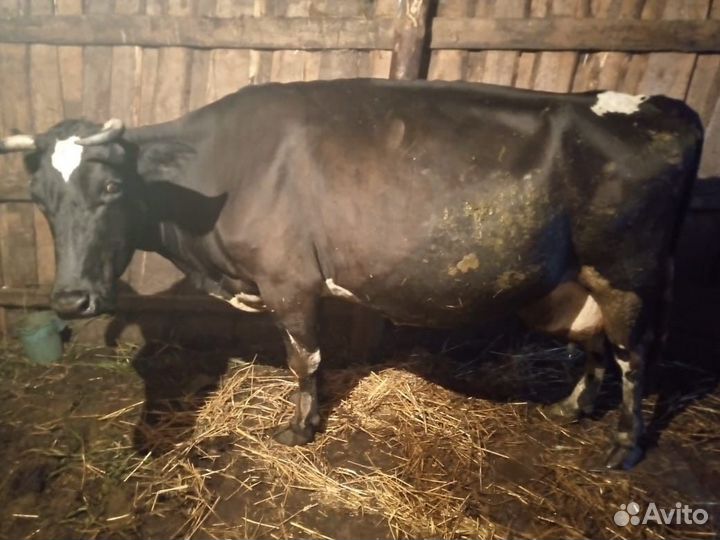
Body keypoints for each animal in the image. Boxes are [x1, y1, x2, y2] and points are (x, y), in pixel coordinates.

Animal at [0, 79, 703, 469]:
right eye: (39, 199)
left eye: (110, 188)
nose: (71, 299)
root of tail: (667, 107)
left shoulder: (290, 280)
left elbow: (304, 359)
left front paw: (299, 429)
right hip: (580, 281)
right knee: (598, 344)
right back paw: (570, 408)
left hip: (629, 271)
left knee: (635, 356)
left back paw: (624, 446)